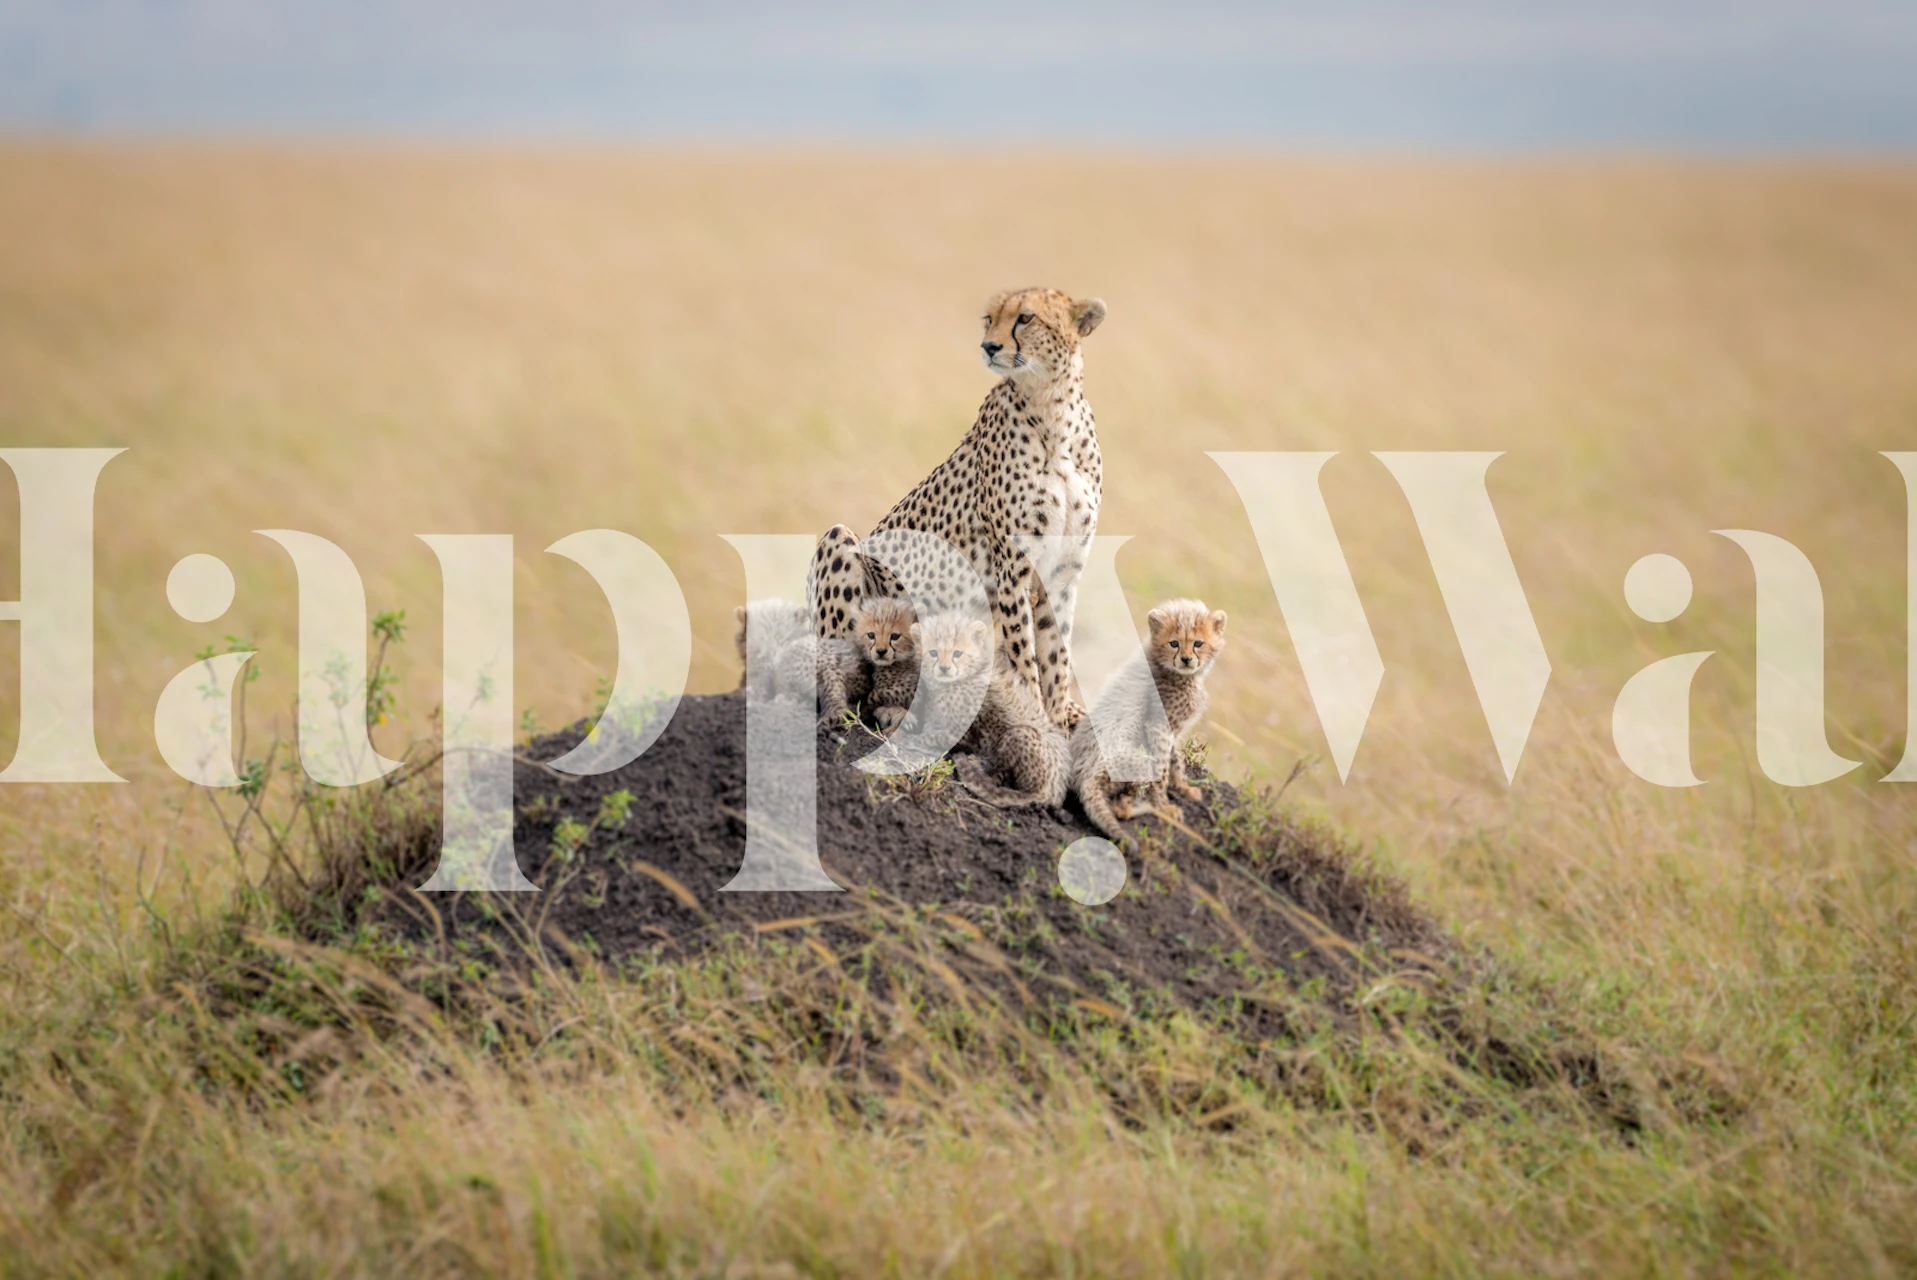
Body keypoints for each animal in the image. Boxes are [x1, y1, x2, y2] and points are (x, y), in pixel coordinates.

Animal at [808, 286, 1106, 733]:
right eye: (989, 318)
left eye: (1026, 318)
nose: (989, 346)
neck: (1052, 408)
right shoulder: (1012, 569)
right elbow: (1024, 653)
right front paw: (1035, 716)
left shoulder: (1063, 570)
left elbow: (1057, 653)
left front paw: (1058, 716)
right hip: (840, 542)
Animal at [1069, 599, 1227, 849]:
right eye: (1174, 643)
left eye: (1198, 643)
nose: (1186, 659)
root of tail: (1085, 777)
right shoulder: (1158, 727)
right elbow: (1162, 769)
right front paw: (1165, 804)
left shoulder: (1170, 730)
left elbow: (1175, 759)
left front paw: (1183, 787)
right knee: (1121, 808)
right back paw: (1154, 809)